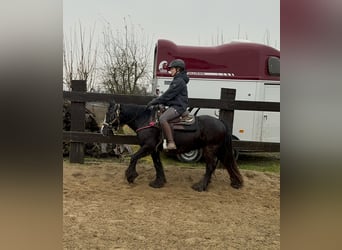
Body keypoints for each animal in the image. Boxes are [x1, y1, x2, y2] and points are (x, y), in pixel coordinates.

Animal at [101, 101, 243, 191]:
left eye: (110, 114)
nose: (103, 130)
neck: (147, 120)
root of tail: (221, 122)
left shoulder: (148, 146)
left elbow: (133, 157)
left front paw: (131, 176)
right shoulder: (154, 150)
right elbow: (157, 165)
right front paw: (158, 182)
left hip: (209, 149)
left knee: (210, 166)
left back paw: (200, 186)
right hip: (218, 150)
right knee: (224, 164)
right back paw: (234, 182)